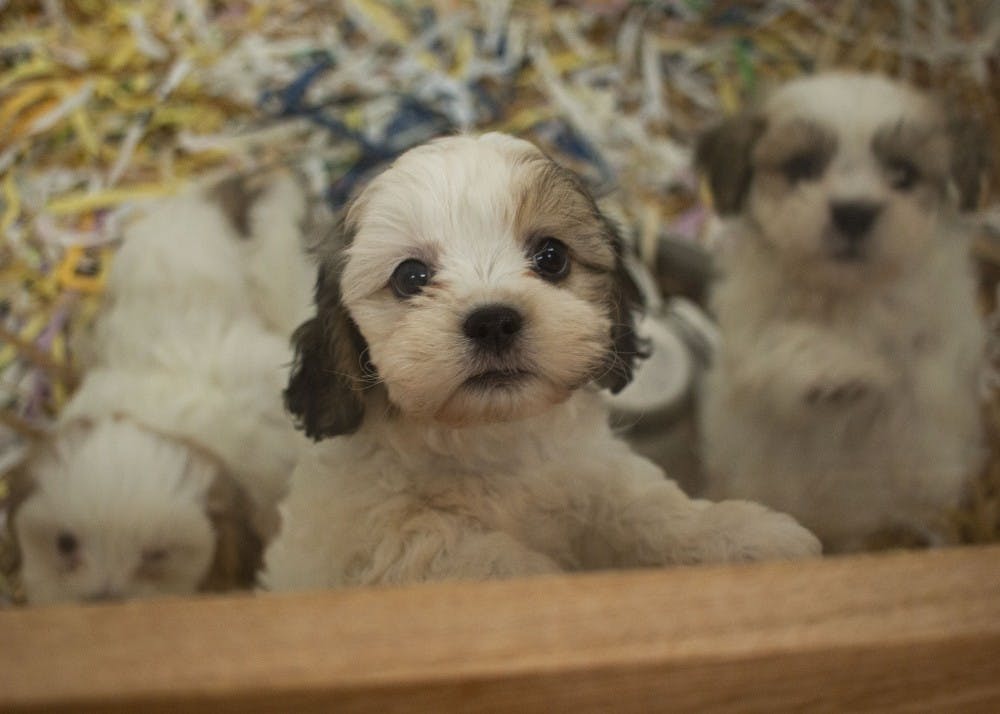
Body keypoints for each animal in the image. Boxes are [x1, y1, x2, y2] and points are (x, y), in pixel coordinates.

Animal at [260, 134, 820, 588]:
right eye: (410, 277)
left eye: (552, 257)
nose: (492, 321)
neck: (492, 441)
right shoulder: (372, 538)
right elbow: (447, 541)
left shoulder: (594, 472)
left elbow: (644, 506)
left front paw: (739, 535)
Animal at [700, 72, 988, 552]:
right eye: (802, 168)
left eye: (902, 174)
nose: (854, 212)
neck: (848, 297)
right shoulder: (750, 337)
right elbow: (783, 345)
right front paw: (838, 368)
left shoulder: (942, 338)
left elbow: (918, 380)